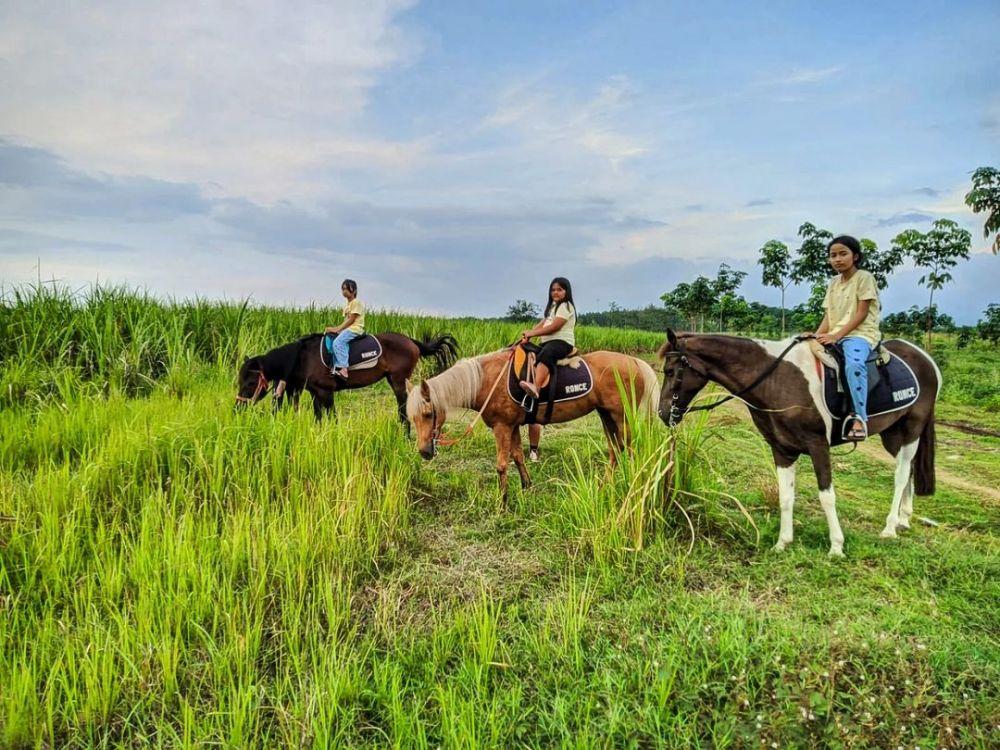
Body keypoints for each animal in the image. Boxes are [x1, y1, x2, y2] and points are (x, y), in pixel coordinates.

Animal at [240, 332, 458, 432]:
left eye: (250, 383)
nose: (237, 407)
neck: (305, 358)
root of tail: (411, 341)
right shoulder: (315, 393)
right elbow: (319, 417)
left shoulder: (326, 392)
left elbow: (333, 417)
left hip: (398, 380)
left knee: (403, 406)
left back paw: (405, 434)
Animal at [656, 330, 936, 560]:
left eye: (670, 371)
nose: (663, 412)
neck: (777, 379)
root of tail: (925, 358)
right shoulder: (782, 449)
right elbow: (785, 497)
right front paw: (783, 542)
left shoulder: (818, 445)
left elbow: (826, 496)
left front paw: (836, 546)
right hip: (892, 434)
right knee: (909, 469)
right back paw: (903, 519)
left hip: (912, 429)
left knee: (901, 475)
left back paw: (889, 527)